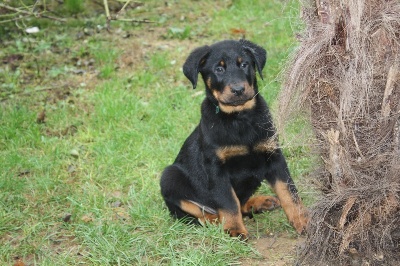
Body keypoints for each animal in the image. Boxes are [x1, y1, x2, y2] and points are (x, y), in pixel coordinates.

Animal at [161, 40, 308, 239]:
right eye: (219, 69)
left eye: (244, 64)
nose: (238, 90)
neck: (240, 118)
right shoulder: (216, 168)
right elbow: (229, 202)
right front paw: (235, 230)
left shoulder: (274, 156)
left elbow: (289, 192)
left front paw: (303, 220)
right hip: (169, 176)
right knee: (194, 213)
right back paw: (215, 221)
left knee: (242, 202)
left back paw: (259, 202)